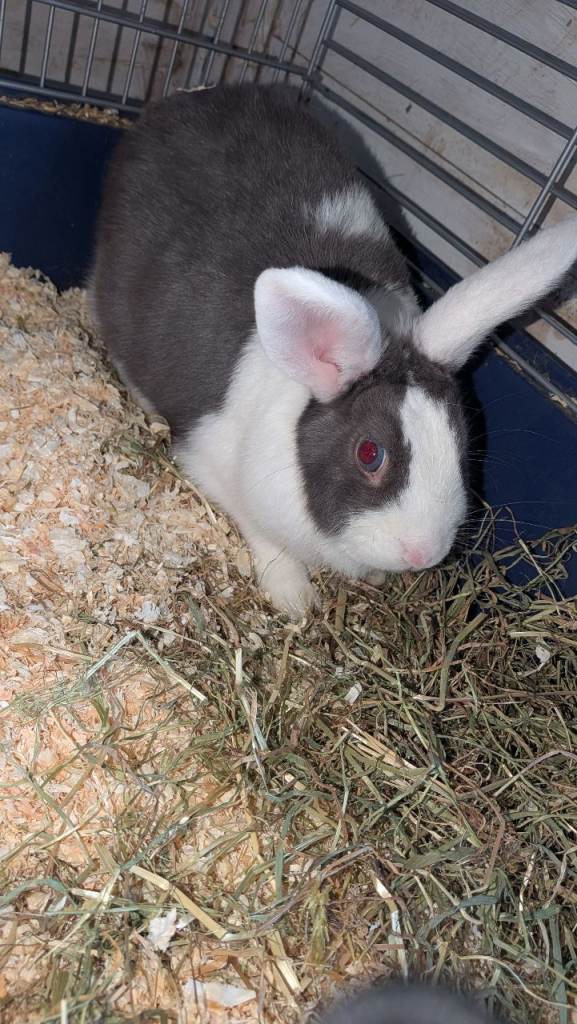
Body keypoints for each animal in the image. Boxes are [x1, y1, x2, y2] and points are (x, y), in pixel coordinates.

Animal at [90, 83, 577, 617]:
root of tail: (192, 97)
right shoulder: (211, 464)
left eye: (463, 439)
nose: (423, 553)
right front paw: (295, 601)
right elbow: (266, 539)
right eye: (369, 453)